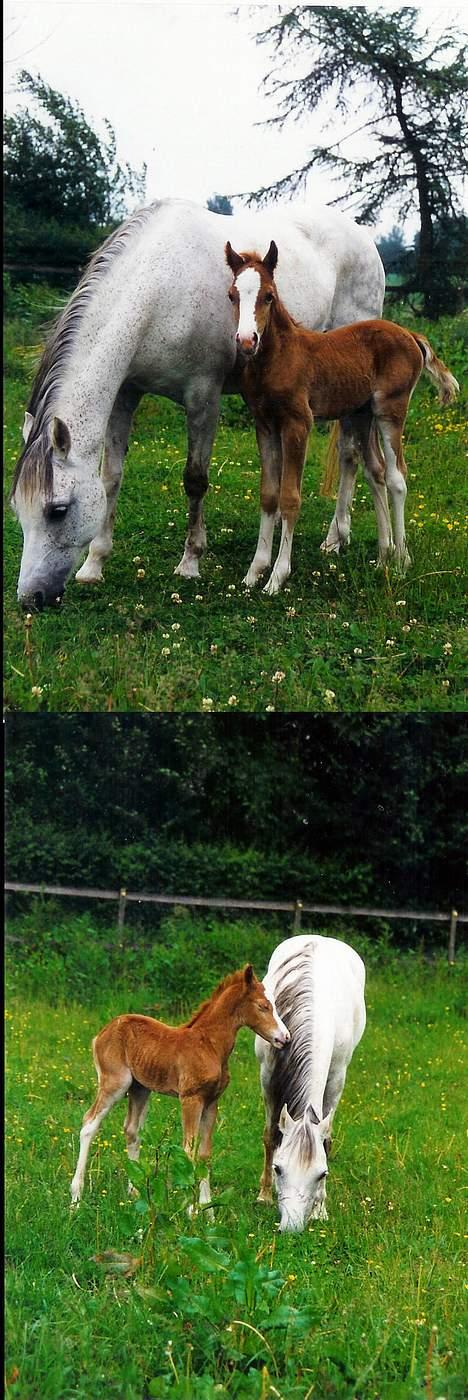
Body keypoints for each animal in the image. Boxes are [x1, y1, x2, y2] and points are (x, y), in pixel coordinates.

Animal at [10, 197, 384, 608]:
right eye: (18, 509)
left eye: (58, 511)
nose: (31, 598)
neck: (160, 287)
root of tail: (363, 238)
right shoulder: (126, 394)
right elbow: (111, 477)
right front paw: (94, 564)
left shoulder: (202, 397)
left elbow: (195, 479)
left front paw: (190, 562)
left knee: (350, 452)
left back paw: (335, 538)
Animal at [70, 963, 289, 1207]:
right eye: (262, 1006)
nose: (285, 1037)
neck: (209, 1045)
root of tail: (102, 1033)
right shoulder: (191, 1098)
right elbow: (188, 1150)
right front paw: (192, 1208)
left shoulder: (211, 1102)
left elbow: (204, 1154)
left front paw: (206, 1207)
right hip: (115, 1082)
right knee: (89, 1123)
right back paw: (75, 1198)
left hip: (140, 1088)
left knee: (131, 1130)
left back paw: (134, 1192)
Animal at [225, 239, 459, 594]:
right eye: (232, 295)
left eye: (268, 296)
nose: (247, 340)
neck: (278, 358)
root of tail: (410, 334)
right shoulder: (264, 425)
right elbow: (268, 495)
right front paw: (254, 571)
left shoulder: (298, 424)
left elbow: (289, 498)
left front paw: (277, 576)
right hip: (362, 413)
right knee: (375, 471)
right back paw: (384, 555)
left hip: (390, 409)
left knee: (396, 477)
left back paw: (401, 561)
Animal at [255, 935, 366, 1232]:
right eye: (278, 1168)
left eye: (322, 1173)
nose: (292, 1228)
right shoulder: (267, 1076)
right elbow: (270, 1135)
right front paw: (263, 1196)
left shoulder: (337, 1077)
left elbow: (326, 1140)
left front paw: (320, 1210)